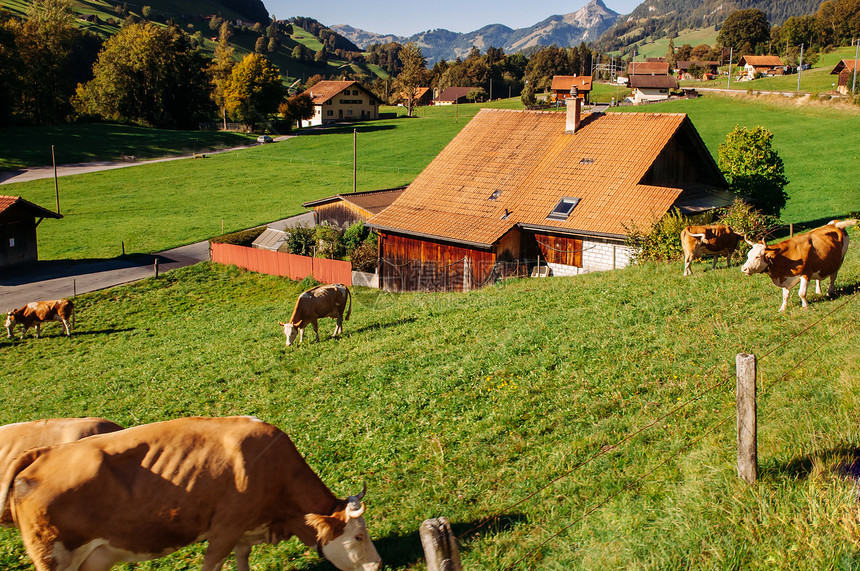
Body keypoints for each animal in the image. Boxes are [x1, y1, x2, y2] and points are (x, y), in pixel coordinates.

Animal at [0, 416, 382, 571]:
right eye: (359, 536)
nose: (378, 565)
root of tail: (40, 454)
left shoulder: (245, 531)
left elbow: (242, 561)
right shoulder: (224, 530)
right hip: (54, 557)